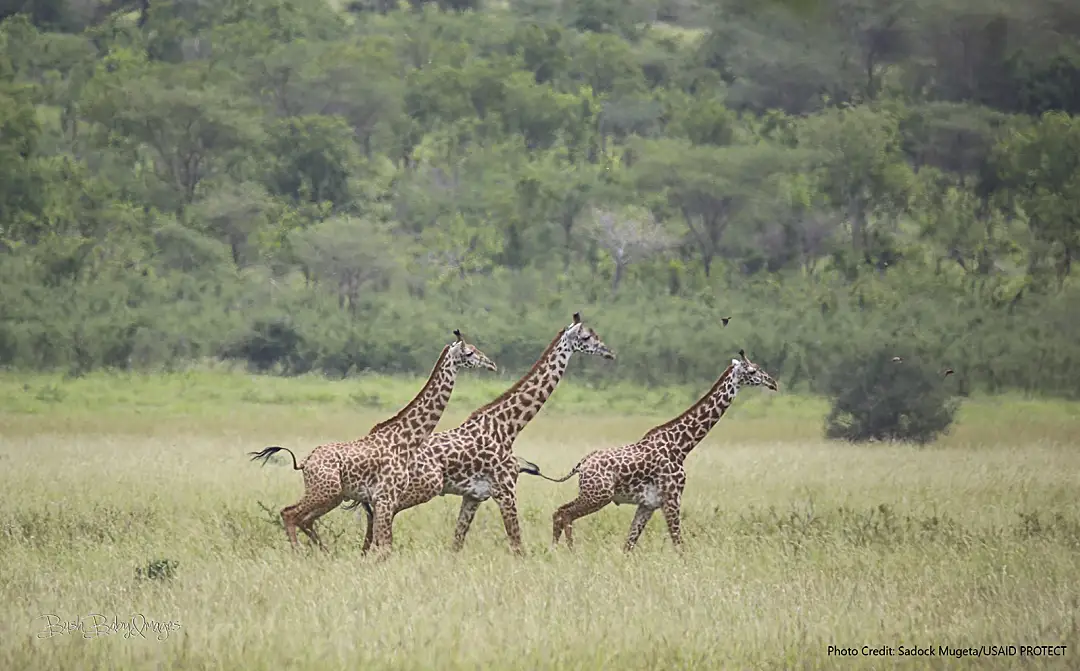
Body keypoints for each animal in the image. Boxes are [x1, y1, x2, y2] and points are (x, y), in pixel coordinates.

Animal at [246, 330, 496, 553]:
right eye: (469, 352)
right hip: (325, 491)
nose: (491, 364)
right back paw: (300, 553)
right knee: (289, 513)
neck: (406, 440)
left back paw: (322, 553)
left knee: (302, 518)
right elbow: (384, 547)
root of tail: (305, 462)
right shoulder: (385, 498)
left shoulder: (383, 501)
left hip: (332, 496)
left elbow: (379, 545)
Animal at [345, 313, 617, 553]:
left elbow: (456, 544)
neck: (508, 427)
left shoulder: (474, 496)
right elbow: (518, 546)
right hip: (410, 491)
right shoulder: (506, 491)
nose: (609, 352)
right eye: (586, 337)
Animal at [529, 345, 777, 548]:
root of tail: (582, 464)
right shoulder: (672, 499)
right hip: (598, 495)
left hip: (595, 494)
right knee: (564, 513)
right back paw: (568, 551)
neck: (682, 445)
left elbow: (628, 545)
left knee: (559, 512)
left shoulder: (647, 505)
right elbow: (679, 545)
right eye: (753, 371)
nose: (773, 383)